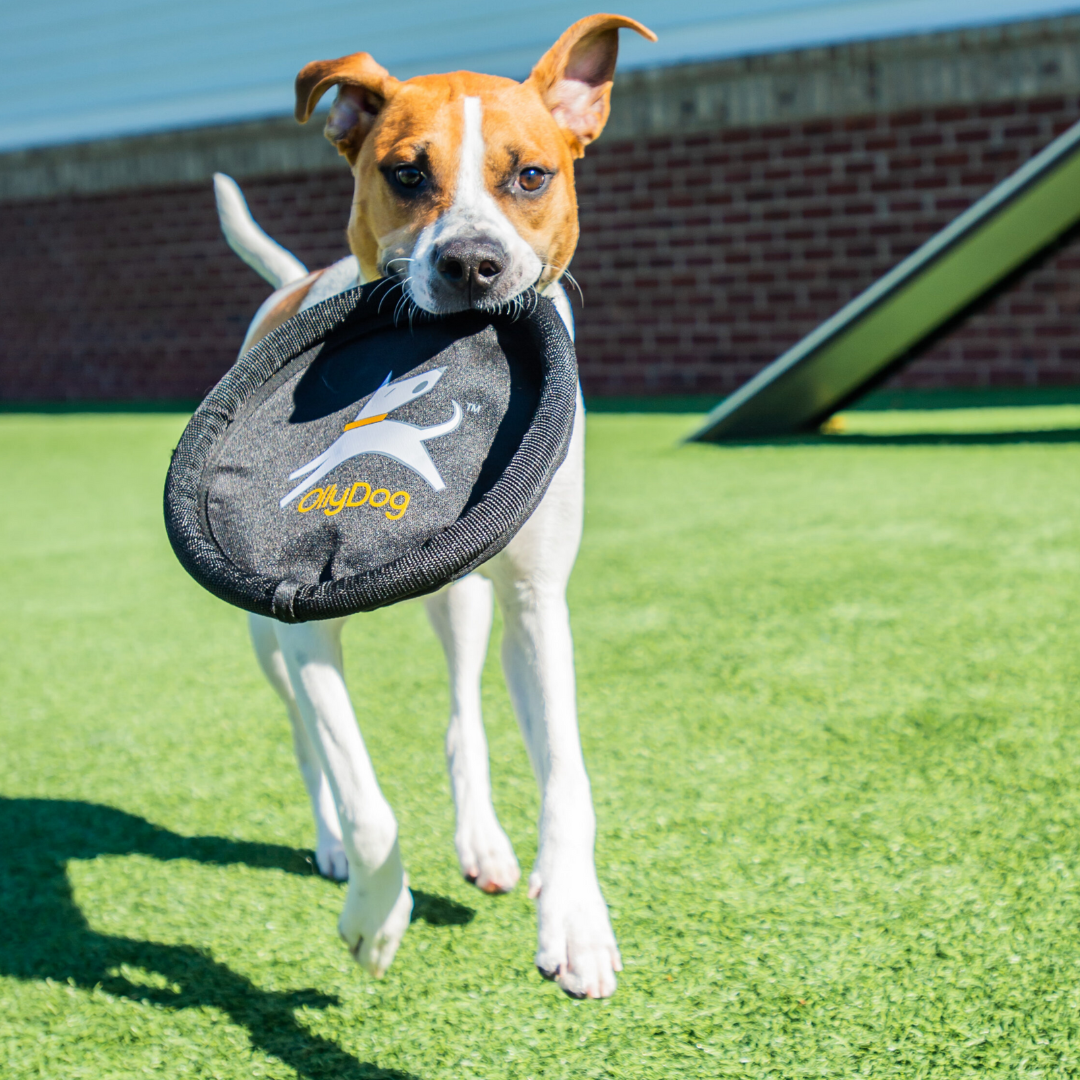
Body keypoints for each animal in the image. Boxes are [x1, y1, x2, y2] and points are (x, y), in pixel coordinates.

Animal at [209, 12, 648, 997]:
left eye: (532, 175)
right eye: (406, 173)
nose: (473, 263)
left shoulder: (535, 601)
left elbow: (568, 775)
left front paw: (576, 918)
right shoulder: (303, 623)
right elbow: (364, 795)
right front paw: (376, 917)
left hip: (466, 600)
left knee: (463, 716)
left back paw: (489, 844)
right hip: (260, 642)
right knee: (304, 739)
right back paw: (333, 846)